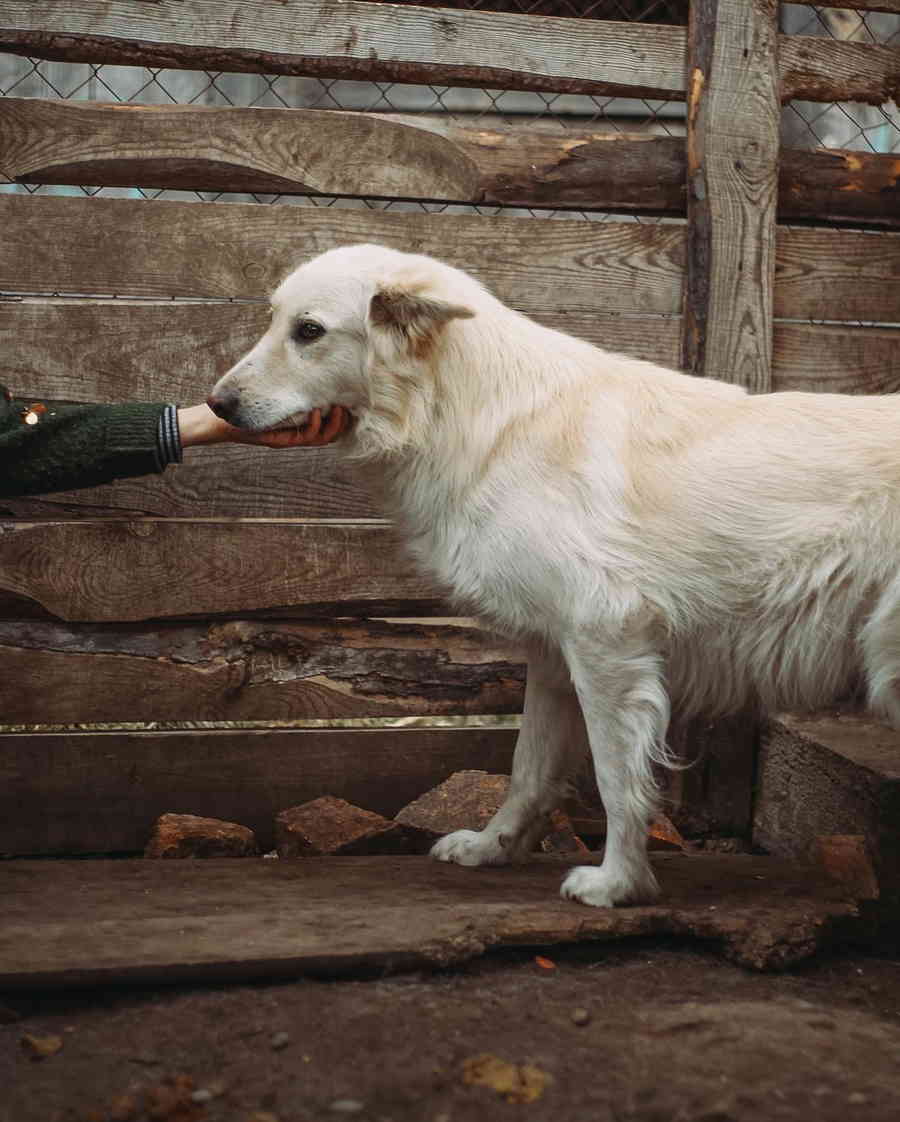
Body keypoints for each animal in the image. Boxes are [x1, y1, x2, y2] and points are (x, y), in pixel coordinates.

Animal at [206, 245, 897, 911]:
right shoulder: (552, 654)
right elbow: (528, 769)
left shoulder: (606, 643)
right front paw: (494, 848)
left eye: (309, 331)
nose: (216, 405)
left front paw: (619, 885)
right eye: (274, 320)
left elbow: (617, 783)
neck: (465, 409)